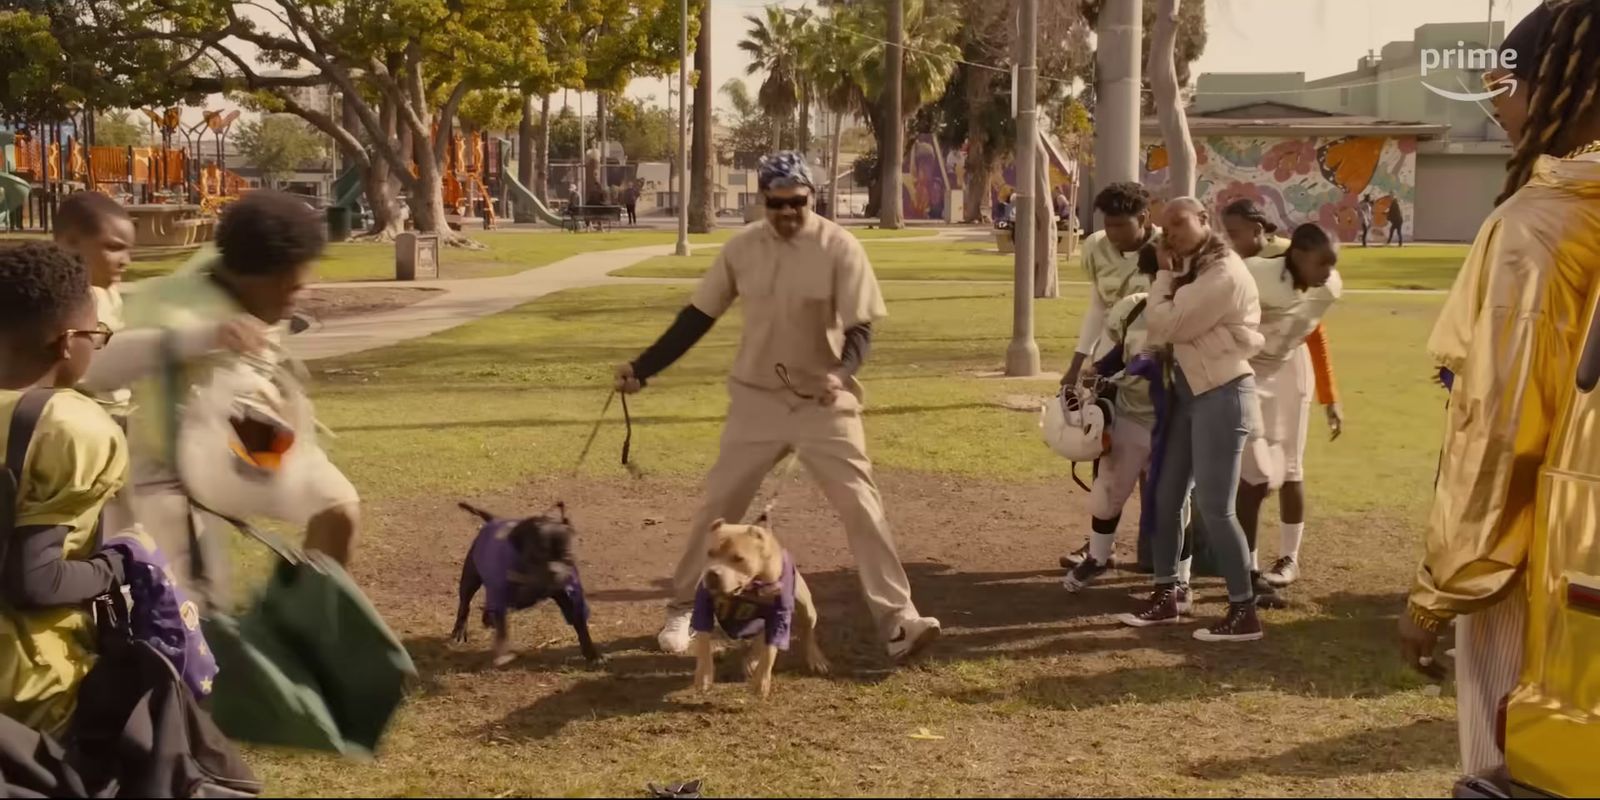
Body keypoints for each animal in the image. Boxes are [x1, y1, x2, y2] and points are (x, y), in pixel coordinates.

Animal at [454, 502, 601, 665]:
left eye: (567, 555)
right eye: (538, 554)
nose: (554, 572)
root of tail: (494, 520)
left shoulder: (567, 596)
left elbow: (580, 624)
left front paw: (591, 653)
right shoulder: (500, 595)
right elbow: (502, 629)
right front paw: (503, 653)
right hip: (470, 579)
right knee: (465, 604)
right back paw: (460, 629)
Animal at [688, 518, 825, 700]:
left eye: (738, 558)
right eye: (709, 553)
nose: (712, 574)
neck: (750, 587)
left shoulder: (779, 615)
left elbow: (770, 650)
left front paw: (761, 682)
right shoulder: (702, 607)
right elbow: (703, 641)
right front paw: (704, 675)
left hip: (806, 607)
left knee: (807, 632)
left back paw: (815, 659)